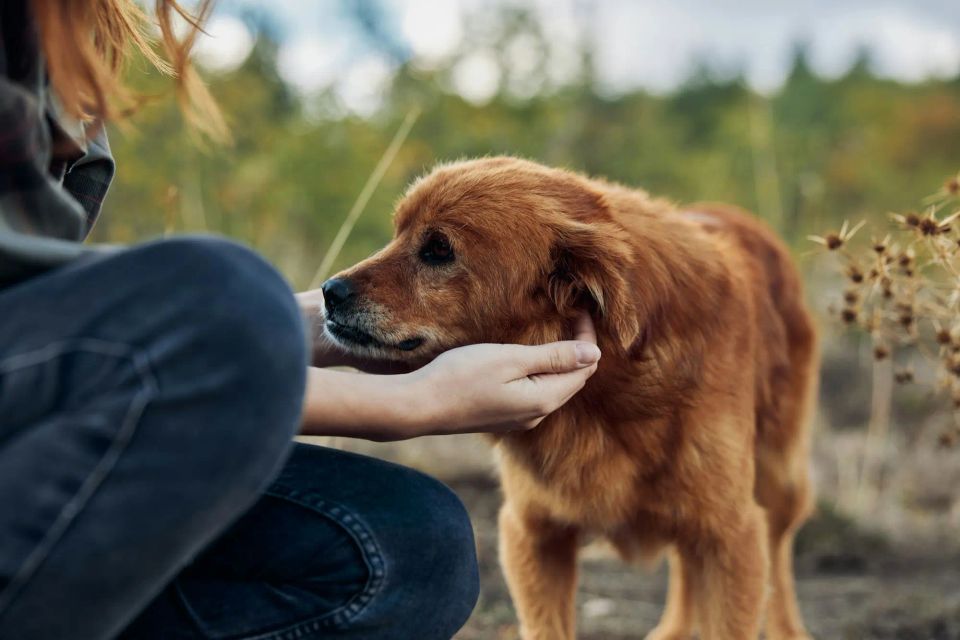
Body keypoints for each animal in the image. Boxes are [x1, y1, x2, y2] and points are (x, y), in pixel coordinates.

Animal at [322, 156, 816, 640]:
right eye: (398, 233)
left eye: (439, 249)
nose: (329, 293)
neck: (606, 395)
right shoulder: (535, 534)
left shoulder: (730, 537)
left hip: (777, 483)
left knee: (778, 557)